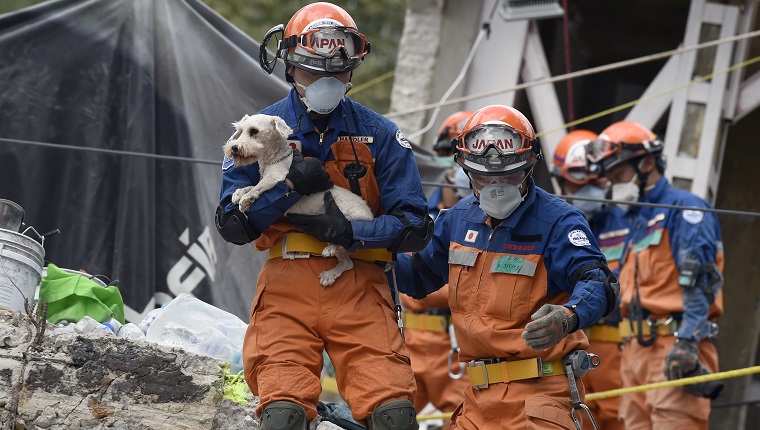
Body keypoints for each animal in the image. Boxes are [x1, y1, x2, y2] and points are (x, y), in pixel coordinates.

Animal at [223, 114, 374, 286]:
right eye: (240, 131)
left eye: (254, 131)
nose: (234, 147)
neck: (274, 159)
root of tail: (370, 216)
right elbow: (252, 185)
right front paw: (239, 193)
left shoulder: (275, 178)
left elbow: (258, 187)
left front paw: (246, 199)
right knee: (347, 263)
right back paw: (330, 274)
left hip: (347, 220)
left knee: (344, 233)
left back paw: (331, 249)